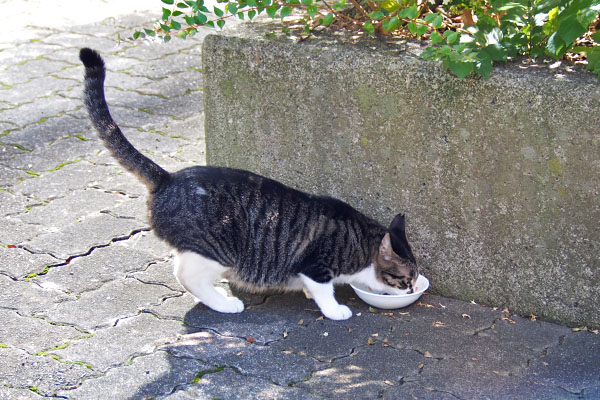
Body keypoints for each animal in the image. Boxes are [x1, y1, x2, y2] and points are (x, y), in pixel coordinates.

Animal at [78, 47, 418, 322]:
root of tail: (168, 178)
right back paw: (224, 303)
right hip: (216, 250)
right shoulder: (316, 266)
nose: (413, 289)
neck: (361, 243)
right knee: (185, 275)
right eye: (405, 280)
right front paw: (335, 309)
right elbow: (324, 291)